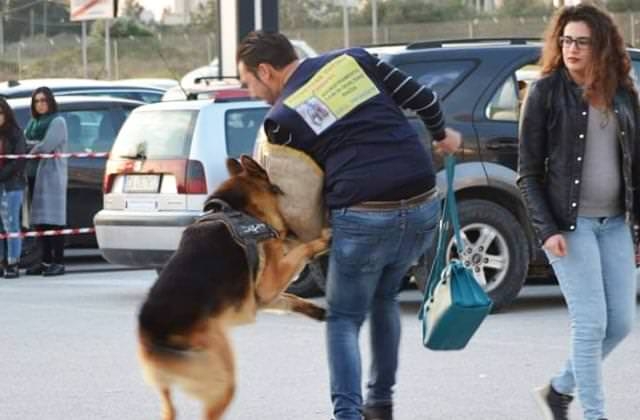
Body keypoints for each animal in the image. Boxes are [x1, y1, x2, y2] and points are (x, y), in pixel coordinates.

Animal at [138, 155, 332, 420]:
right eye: (279, 189)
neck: (239, 211)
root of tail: (153, 336)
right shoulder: (271, 281)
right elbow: (301, 252)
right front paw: (323, 238)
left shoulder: (263, 297)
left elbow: (291, 298)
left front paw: (318, 311)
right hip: (223, 377)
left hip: (171, 394)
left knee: (170, 410)